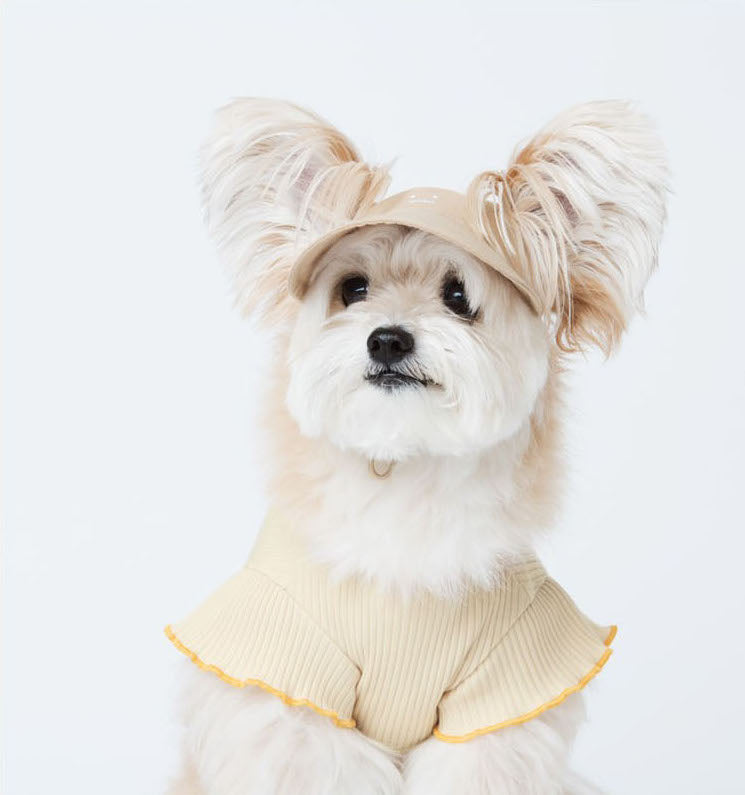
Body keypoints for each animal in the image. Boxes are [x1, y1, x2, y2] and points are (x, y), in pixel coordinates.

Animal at [166, 98, 664, 795]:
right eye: (352, 288)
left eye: (458, 296)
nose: (387, 340)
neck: (405, 472)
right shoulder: (292, 700)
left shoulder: (500, 704)